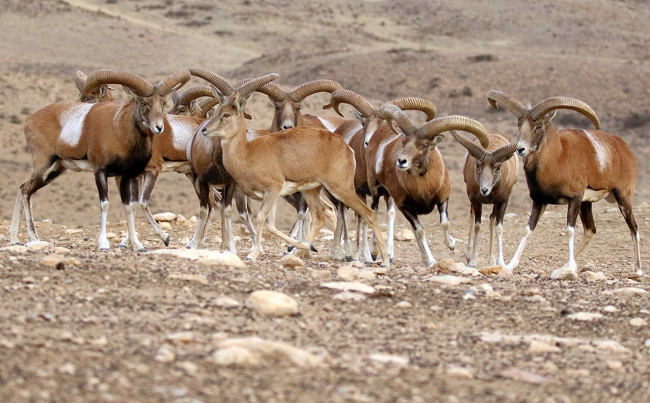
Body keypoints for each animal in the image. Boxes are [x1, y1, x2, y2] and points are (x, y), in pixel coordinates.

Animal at [488, 90, 636, 280]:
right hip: (586, 204)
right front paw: (509, 266)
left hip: (622, 199)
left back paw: (638, 271)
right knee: (590, 230)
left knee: (634, 228)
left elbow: (569, 231)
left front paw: (571, 269)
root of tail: (624, 149)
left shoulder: (574, 200)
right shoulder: (540, 202)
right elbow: (528, 229)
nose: (521, 149)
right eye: (519, 124)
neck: (559, 157)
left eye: (539, 126)